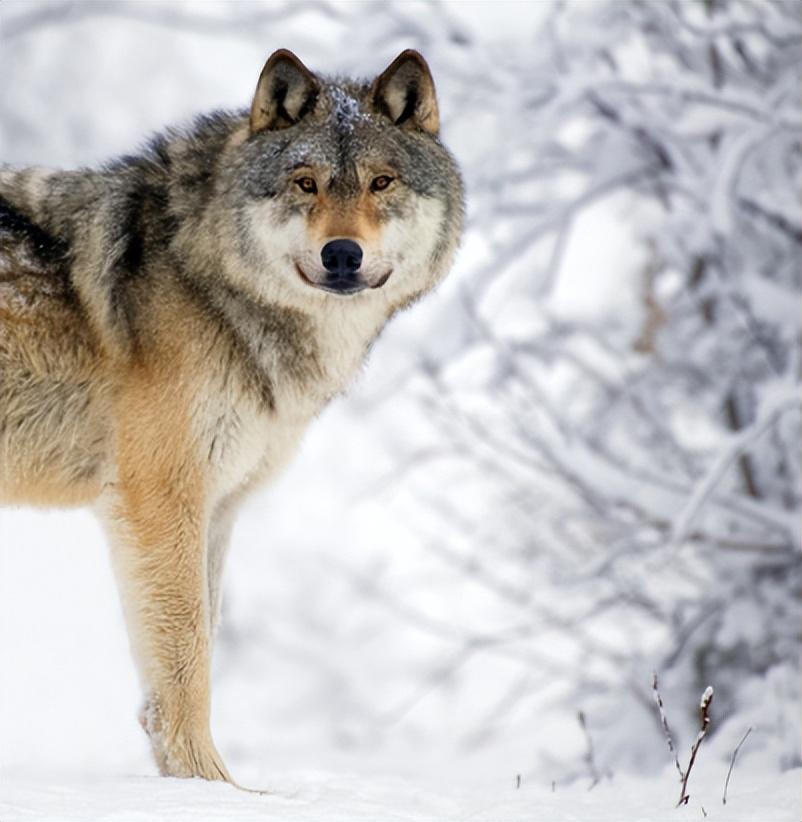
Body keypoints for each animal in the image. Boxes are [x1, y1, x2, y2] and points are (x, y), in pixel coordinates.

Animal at [0, 48, 462, 784]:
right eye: (305, 183)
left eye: (381, 182)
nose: (342, 254)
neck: (209, 283)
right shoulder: (161, 498)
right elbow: (187, 655)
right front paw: (214, 787)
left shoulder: (219, 504)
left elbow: (196, 651)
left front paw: (196, 785)